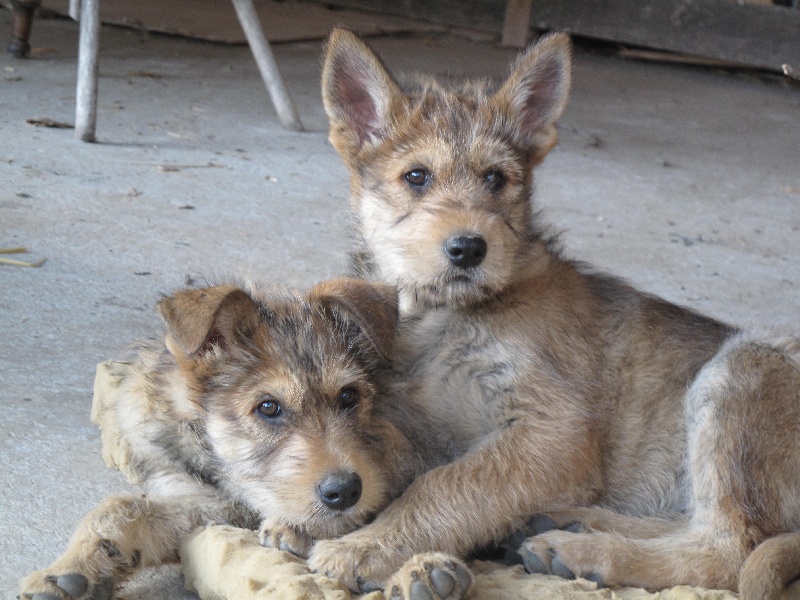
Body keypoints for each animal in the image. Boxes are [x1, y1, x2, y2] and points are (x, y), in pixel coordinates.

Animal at [18, 278, 472, 600]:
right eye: (268, 408)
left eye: (348, 396)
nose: (344, 491)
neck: (224, 469)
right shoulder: (206, 506)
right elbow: (120, 508)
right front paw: (68, 571)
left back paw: (427, 577)